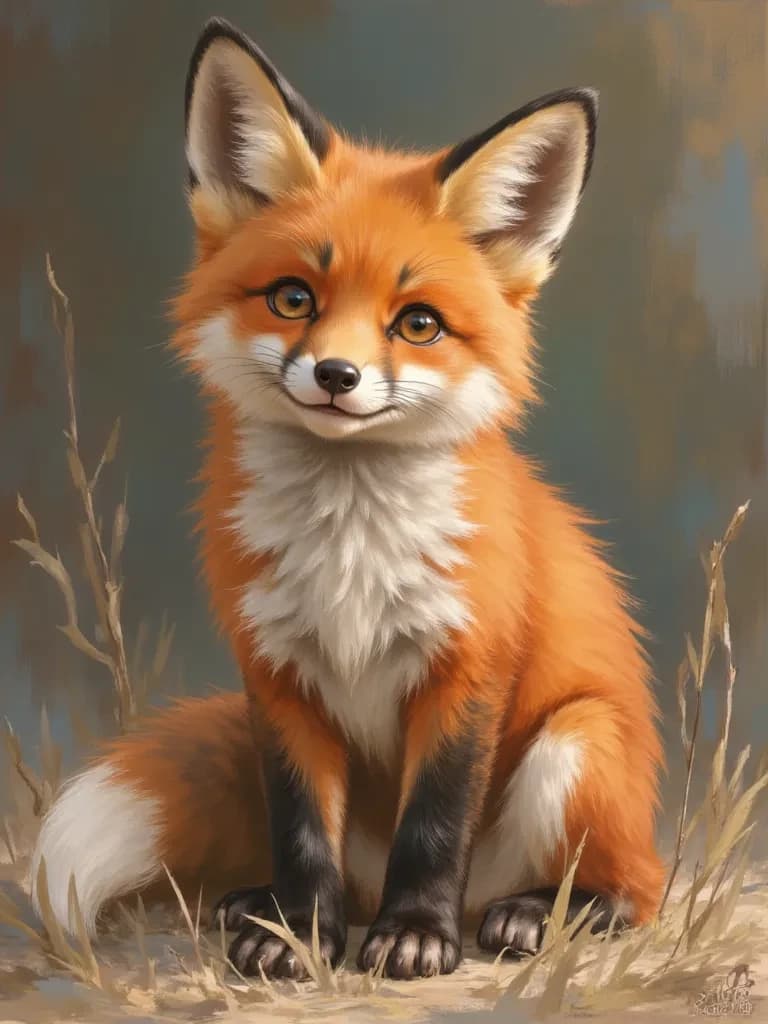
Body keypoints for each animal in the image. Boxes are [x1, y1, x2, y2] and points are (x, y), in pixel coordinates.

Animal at [30, 17, 665, 981]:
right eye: (294, 298)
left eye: (419, 324)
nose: (336, 375)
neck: (350, 545)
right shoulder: (278, 673)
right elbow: (300, 829)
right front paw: (299, 930)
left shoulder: (465, 668)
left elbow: (434, 825)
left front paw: (415, 935)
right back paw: (262, 903)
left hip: (576, 746)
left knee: (633, 892)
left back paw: (530, 914)